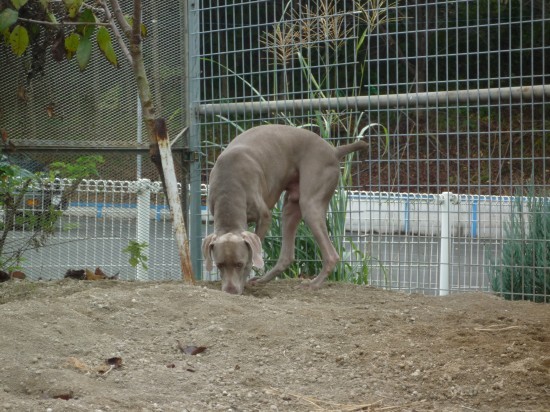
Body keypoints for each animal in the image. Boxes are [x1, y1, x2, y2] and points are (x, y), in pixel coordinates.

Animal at [201, 124, 368, 294]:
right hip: (290, 206)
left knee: (331, 254)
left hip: (311, 202)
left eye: (239, 264)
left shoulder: (264, 217)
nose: (231, 292)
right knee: (287, 256)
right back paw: (262, 280)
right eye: (219, 265)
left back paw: (314, 284)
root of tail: (333, 150)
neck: (228, 187)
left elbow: (252, 254)